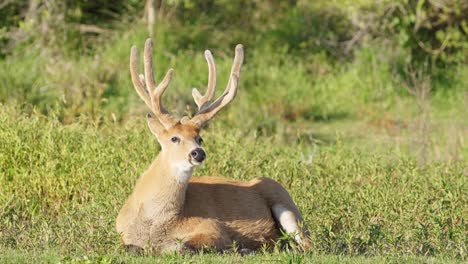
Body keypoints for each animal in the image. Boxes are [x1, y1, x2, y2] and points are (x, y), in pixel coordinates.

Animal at [116, 38, 310, 254]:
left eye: (200, 138)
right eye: (174, 138)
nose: (198, 153)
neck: (153, 224)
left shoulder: (213, 227)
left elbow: (184, 247)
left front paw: (237, 248)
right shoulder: (123, 235)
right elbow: (130, 247)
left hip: (285, 203)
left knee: (307, 245)